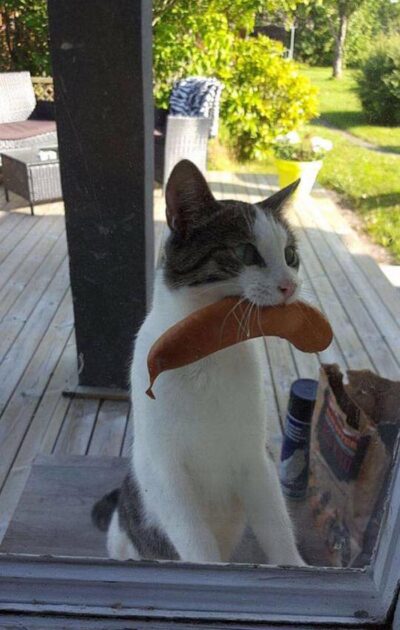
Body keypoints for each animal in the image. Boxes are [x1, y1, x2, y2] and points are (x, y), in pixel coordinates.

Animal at [92, 160, 304, 566]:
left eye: (290, 256)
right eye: (246, 253)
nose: (290, 285)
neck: (207, 352)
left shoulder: (255, 457)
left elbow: (276, 523)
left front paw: (294, 566)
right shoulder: (163, 469)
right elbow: (195, 540)